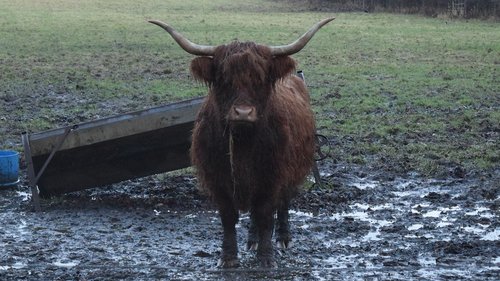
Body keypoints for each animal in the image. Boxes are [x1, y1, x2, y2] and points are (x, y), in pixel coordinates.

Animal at [149, 17, 336, 266]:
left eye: (261, 79)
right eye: (223, 79)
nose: (243, 113)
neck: (243, 141)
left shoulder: (272, 175)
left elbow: (266, 213)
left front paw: (266, 258)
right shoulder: (217, 178)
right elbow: (229, 217)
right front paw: (228, 257)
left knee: (282, 203)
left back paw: (283, 238)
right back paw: (252, 240)